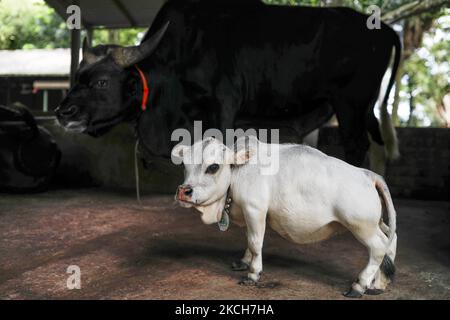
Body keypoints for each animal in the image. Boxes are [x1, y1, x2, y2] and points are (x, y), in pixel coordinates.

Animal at [56, 0, 400, 169]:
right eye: (76, 78)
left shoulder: (223, 106)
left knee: (357, 145)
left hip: (350, 103)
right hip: (365, 106)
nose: (62, 113)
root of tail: (383, 28)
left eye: (102, 82)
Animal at [172, 136, 398, 298]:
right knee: (391, 239)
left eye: (213, 167)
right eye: (184, 165)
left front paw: (253, 274)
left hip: (361, 225)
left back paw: (359, 286)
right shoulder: (249, 214)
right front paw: (243, 262)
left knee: (378, 247)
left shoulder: (255, 209)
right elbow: (248, 241)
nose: (184, 191)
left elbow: (255, 243)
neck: (237, 174)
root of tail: (367, 174)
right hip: (376, 223)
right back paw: (378, 284)